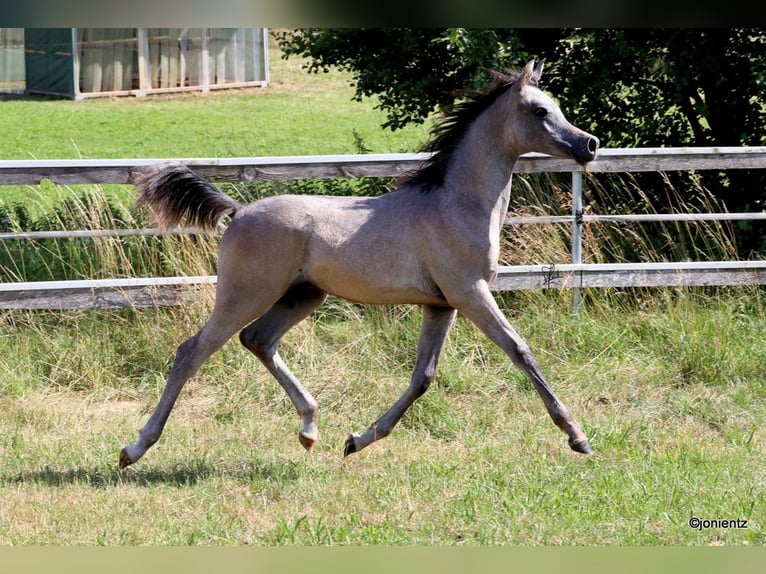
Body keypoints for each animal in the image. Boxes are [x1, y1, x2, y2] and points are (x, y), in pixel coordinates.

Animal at [118, 59, 600, 472]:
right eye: (540, 110)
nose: (589, 145)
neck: (455, 205)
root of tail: (238, 212)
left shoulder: (441, 304)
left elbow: (423, 376)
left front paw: (357, 440)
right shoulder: (470, 293)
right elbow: (521, 351)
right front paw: (577, 437)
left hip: (303, 296)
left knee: (258, 341)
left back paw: (309, 429)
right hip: (246, 295)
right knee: (192, 352)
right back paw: (135, 448)